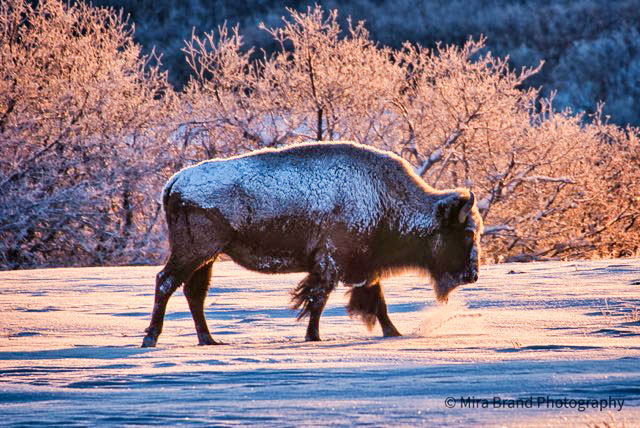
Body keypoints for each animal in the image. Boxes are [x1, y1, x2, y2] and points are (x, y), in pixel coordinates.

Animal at [142, 142, 482, 346]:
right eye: (466, 234)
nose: (473, 274)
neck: (385, 197)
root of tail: (175, 181)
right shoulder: (331, 262)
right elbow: (318, 299)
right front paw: (313, 337)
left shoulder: (364, 268)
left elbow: (376, 302)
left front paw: (393, 333)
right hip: (194, 252)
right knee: (166, 282)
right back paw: (152, 338)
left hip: (207, 258)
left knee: (193, 293)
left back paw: (209, 340)